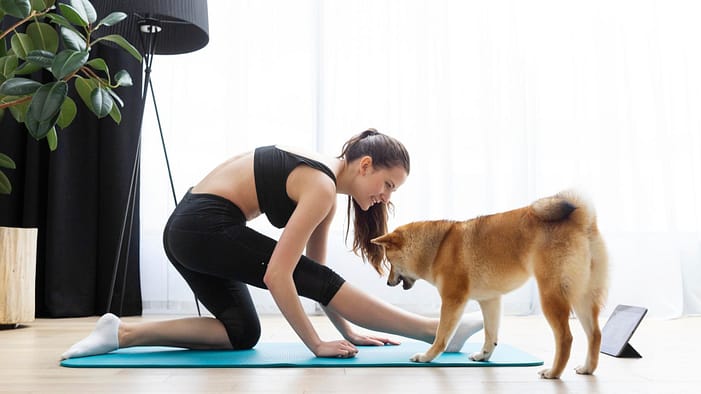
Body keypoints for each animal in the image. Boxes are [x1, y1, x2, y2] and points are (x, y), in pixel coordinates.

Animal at [372, 191, 608, 378]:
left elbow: (441, 336)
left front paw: (427, 357)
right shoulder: (490, 300)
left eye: (389, 262)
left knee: (566, 337)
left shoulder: (453, 299)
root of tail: (581, 220)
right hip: (582, 297)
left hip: (551, 295)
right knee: (595, 334)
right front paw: (484, 355)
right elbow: (490, 334)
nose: (388, 283)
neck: (438, 247)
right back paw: (587, 368)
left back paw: (554, 372)